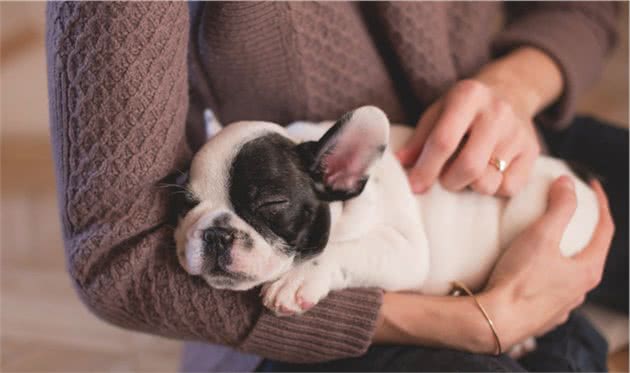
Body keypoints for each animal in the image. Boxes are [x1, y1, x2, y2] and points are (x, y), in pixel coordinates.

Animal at [175, 105, 600, 316]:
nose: (215, 233)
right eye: (186, 204)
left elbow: (344, 250)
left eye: (271, 204)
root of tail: (579, 174)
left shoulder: (405, 250)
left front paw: (297, 279)